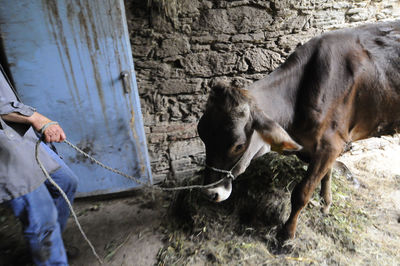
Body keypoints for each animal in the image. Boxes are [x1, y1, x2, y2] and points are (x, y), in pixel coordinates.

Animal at [196, 19, 400, 242]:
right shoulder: (325, 147)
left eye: (238, 146)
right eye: (202, 136)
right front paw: (326, 205)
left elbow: (302, 192)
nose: (209, 193)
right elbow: (326, 175)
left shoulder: (331, 144)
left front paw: (286, 234)